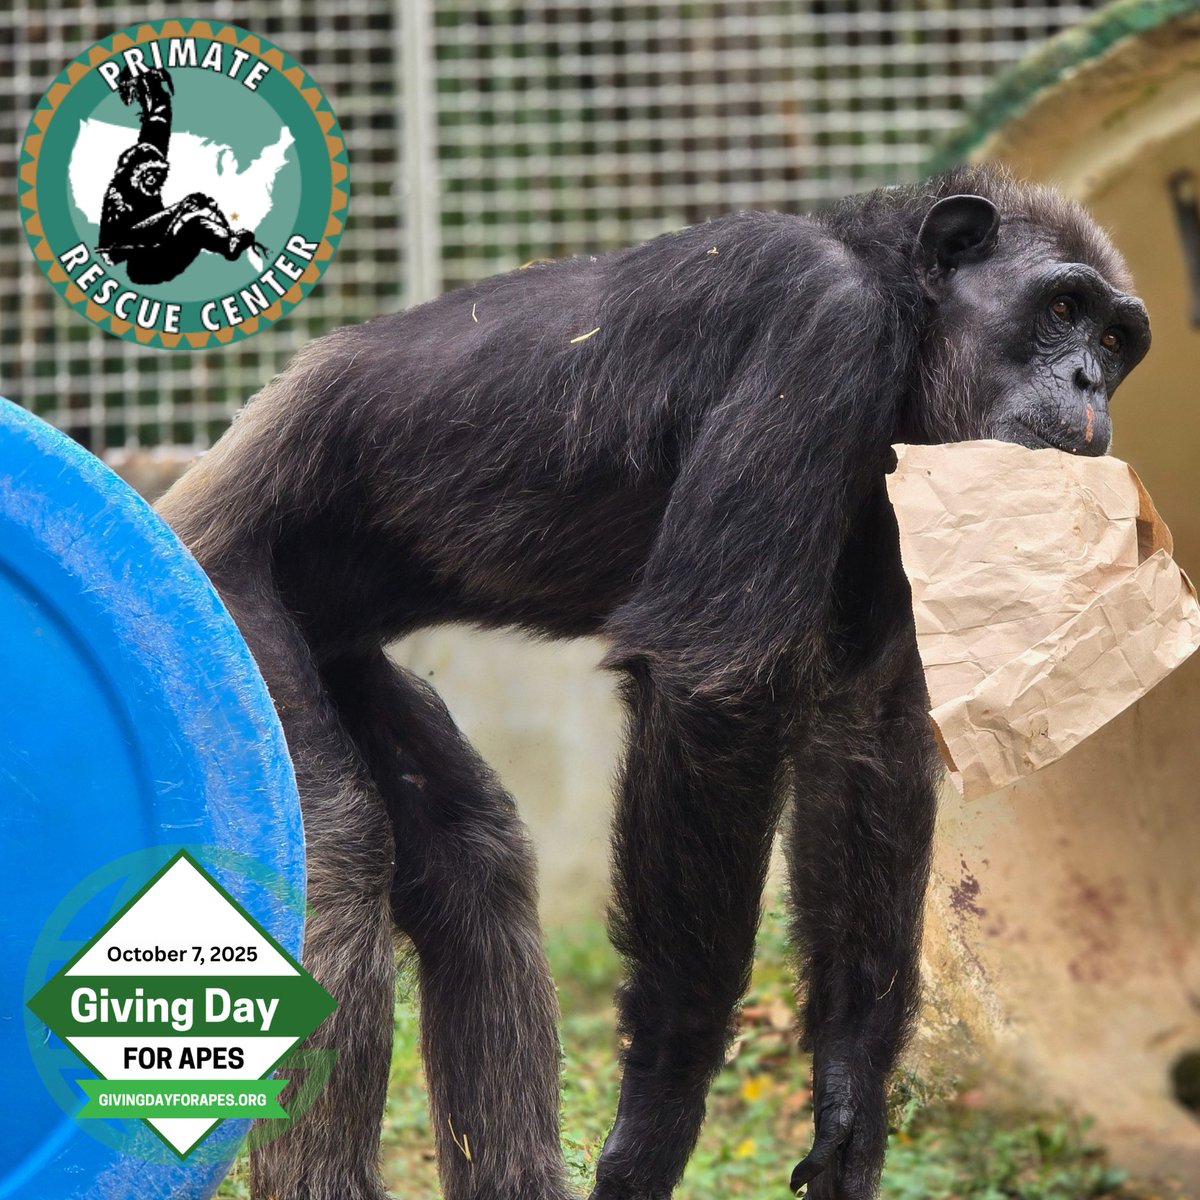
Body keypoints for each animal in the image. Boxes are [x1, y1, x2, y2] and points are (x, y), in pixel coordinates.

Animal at [156, 164, 1150, 1200]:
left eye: (1117, 341)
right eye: (1063, 309)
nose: (1088, 380)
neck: (906, 320)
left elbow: (863, 727)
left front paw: (850, 1094)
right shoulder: (819, 326)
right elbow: (715, 684)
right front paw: (662, 1104)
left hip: (333, 651)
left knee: (475, 858)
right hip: (219, 601)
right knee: (340, 856)